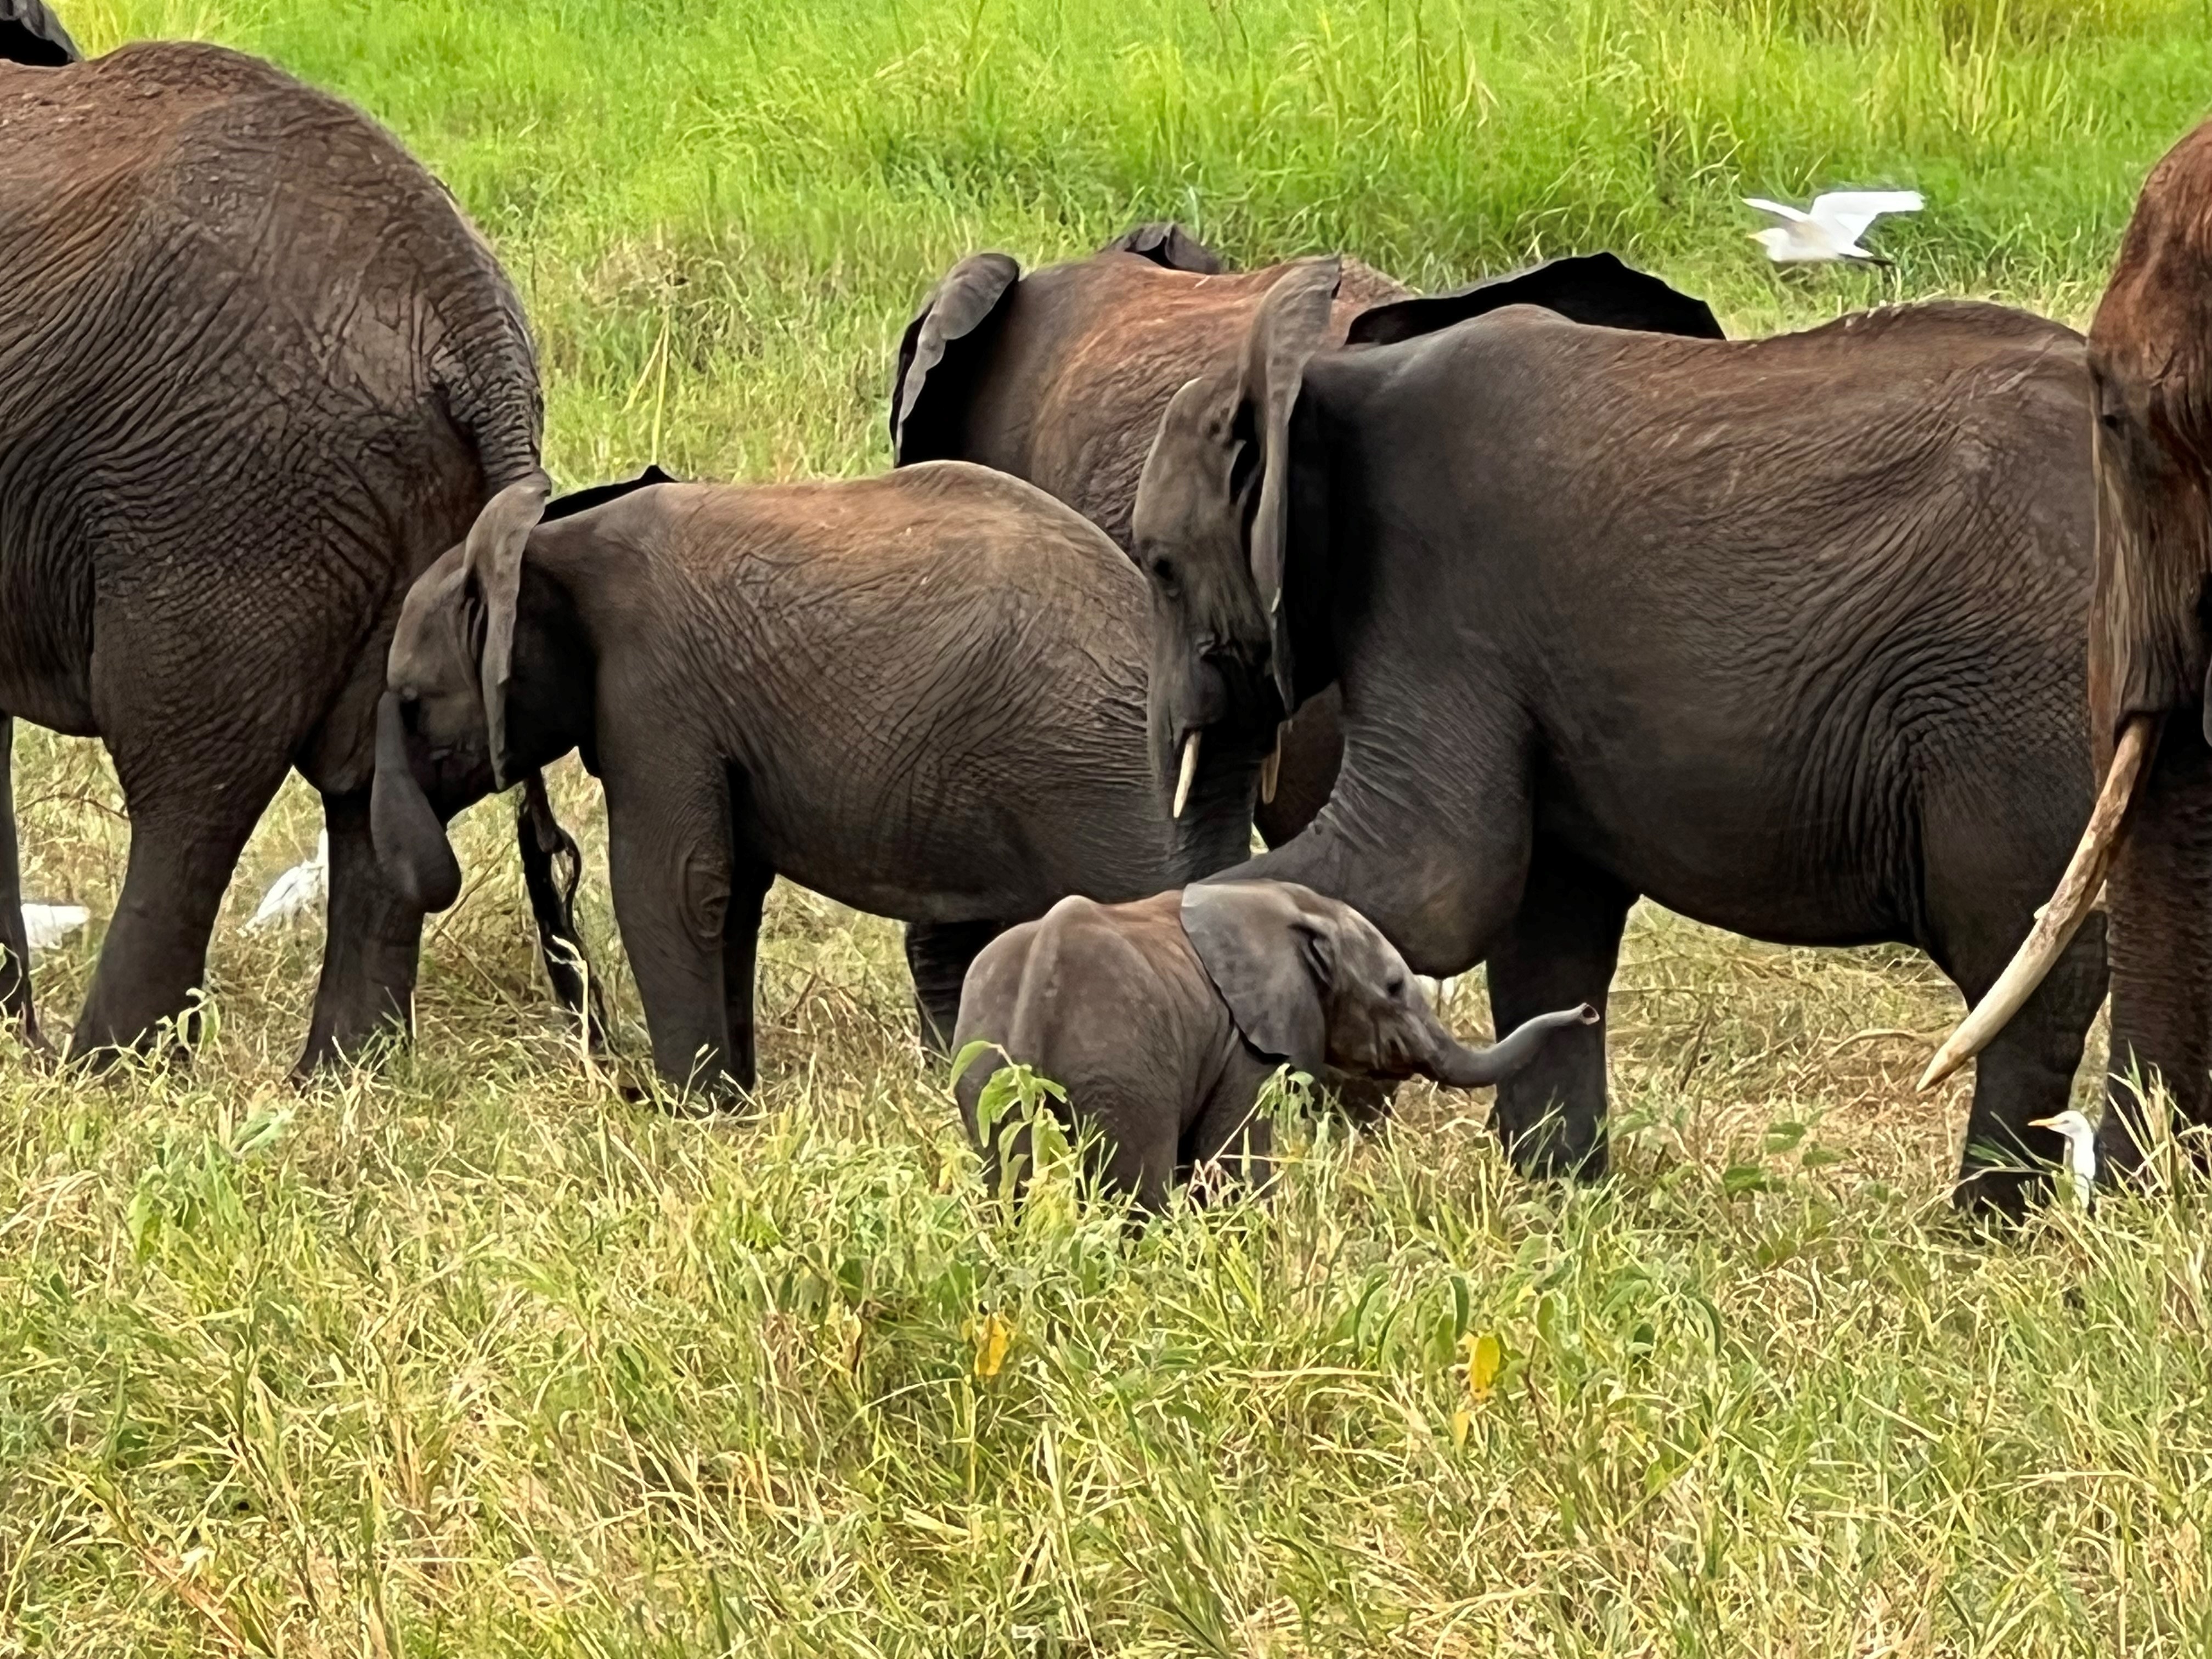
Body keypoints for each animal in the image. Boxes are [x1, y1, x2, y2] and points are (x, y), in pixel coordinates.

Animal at [369, 461, 1261, 1094]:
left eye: (412, 704)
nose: (612, 1073)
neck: (547, 543)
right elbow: (729, 895)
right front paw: (734, 1101)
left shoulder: (656, 694)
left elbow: (671, 884)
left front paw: (692, 1115)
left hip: (1099, 775)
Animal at [951, 880, 1597, 1208]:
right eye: (1393, 987)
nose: (1588, 1012)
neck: (1298, 909)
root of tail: (1041, 976)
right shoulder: (1249, 1047)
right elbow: (1233, 1164)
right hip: (1120, 1064)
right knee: (1133, 1188)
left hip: (983, 1066)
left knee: (1004, 1179)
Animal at [1133, 254, 2105, 1214]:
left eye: (1162, 569)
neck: (1326, 374)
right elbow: (1549, 926)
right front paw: (1555, 1195)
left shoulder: (1438, 600)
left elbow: (1434, 878)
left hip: (2013, 698)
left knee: (2027, 967)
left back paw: (1984, 1226)